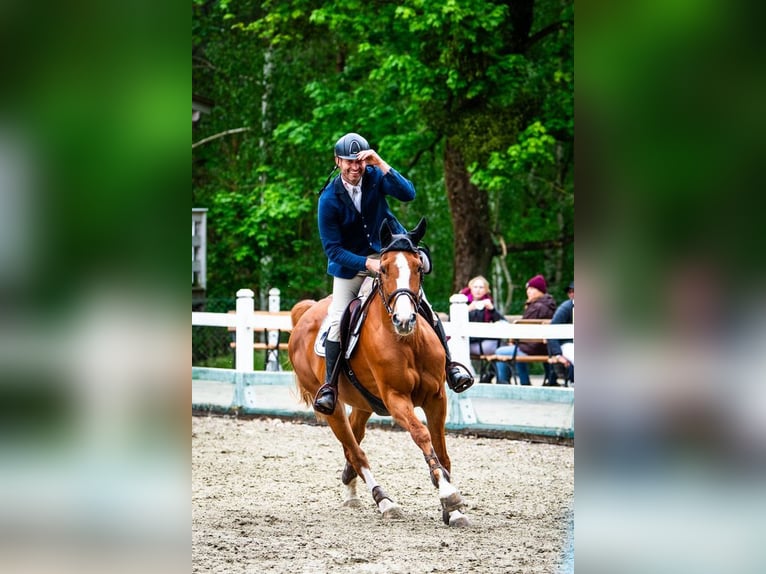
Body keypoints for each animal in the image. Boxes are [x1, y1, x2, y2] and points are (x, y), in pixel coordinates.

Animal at [288, 218, 470, 527]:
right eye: (383, 269)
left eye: (418, 267)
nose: (404, 319)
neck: (407, 342)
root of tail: (306, 313)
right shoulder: (396, 399)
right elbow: (422, 435)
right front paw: (448, 494)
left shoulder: (436, 397)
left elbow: (441, 450)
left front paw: (453, 509)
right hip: (331, 406)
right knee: (356, 450)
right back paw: (384, 500)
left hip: (364, 403)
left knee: (354, 439)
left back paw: (350, 486)